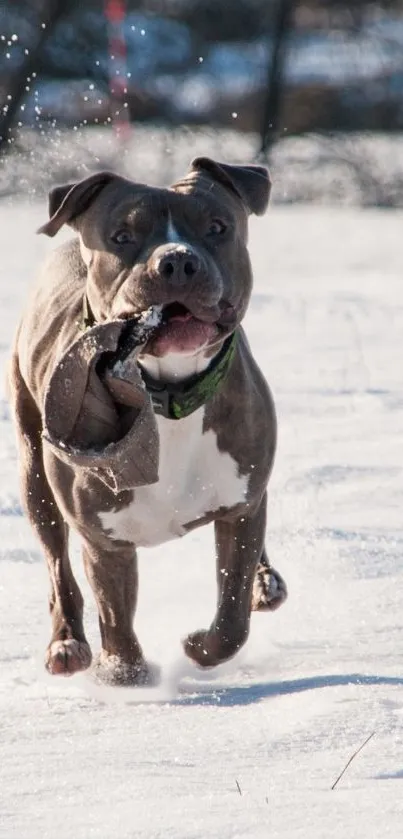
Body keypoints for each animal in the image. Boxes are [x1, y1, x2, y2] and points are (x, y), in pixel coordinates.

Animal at [7, 159, 288, 688]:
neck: (169, 397)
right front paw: (122, 672)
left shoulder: (240, 507)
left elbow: (232, 616)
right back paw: (67, 644)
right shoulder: (104, 540)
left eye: (217, 228)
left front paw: (199, 646)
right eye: (122, 236)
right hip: (34, 474)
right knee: (58, 567)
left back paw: (267, 583)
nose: (176, 261)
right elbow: (115, 617)